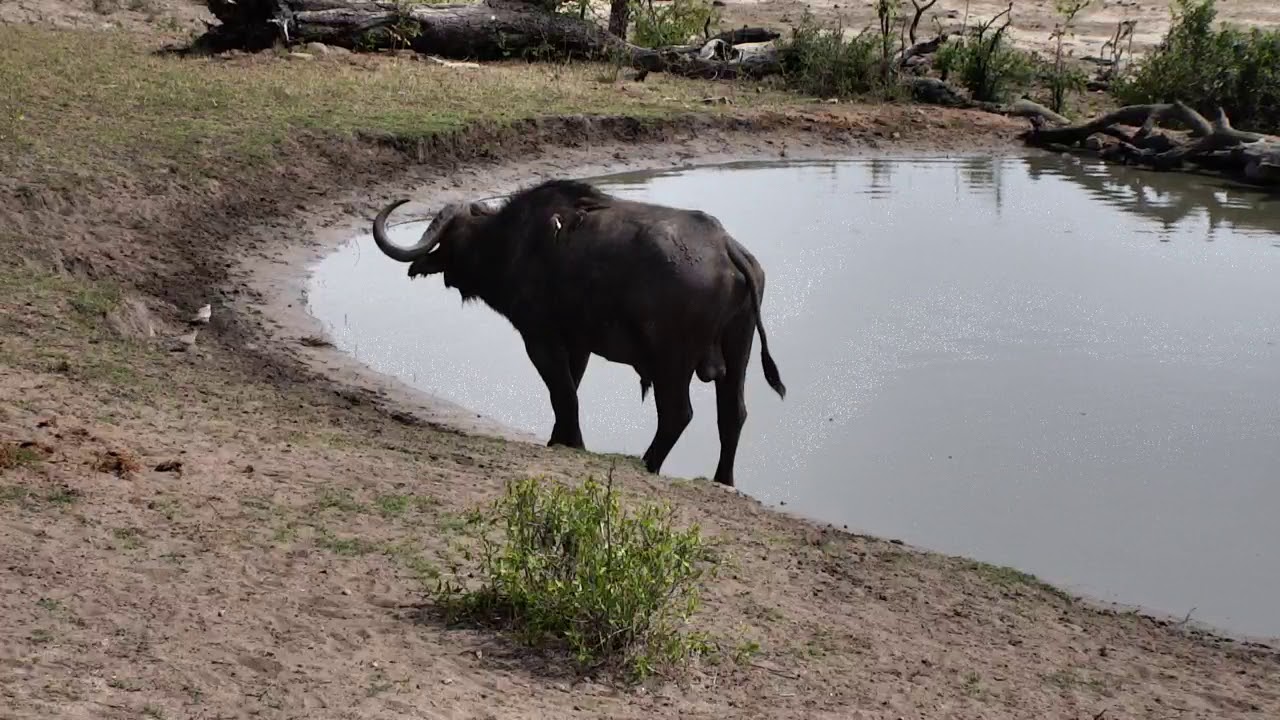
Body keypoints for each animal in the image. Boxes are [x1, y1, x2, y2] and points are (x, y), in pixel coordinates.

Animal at [370, 178, 785, 487]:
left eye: (450, 239)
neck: (511, 242)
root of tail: (726, 246)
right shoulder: (578, 345)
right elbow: (570, 389)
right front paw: (560, 440)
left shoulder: (540, 338)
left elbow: (563, 394)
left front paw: (574, 445)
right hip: (738, 348)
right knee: (732, 414)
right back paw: (723, 479)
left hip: (671, 361)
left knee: (677, 414)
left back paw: (647, 463)